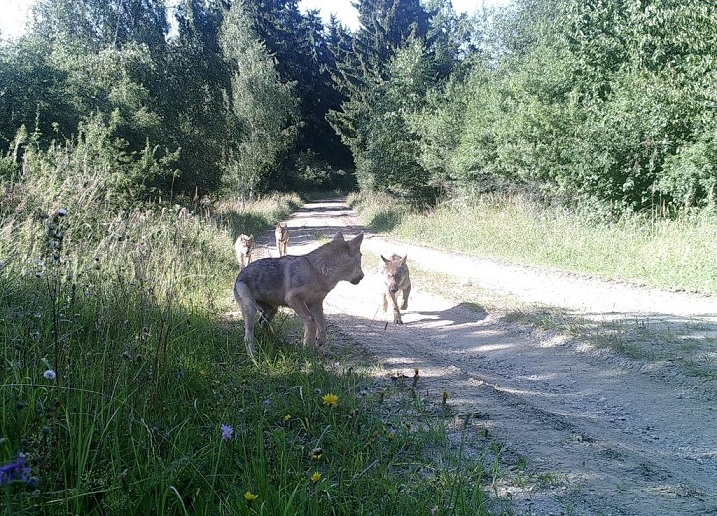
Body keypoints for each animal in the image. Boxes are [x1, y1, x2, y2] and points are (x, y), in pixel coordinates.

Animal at [232, 233, 364, 358]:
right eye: (361, 259)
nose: (363, 276)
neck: (317, 271)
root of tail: (238, 276)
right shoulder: (293, 299)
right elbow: (311, 321)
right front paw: (308, 352)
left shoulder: (315, 303)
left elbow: (322, 324)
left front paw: (321, 344)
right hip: (251, 309)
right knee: (248, 336)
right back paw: (253, 356)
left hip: (272, 310)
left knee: (262, 323)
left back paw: (272, 340)